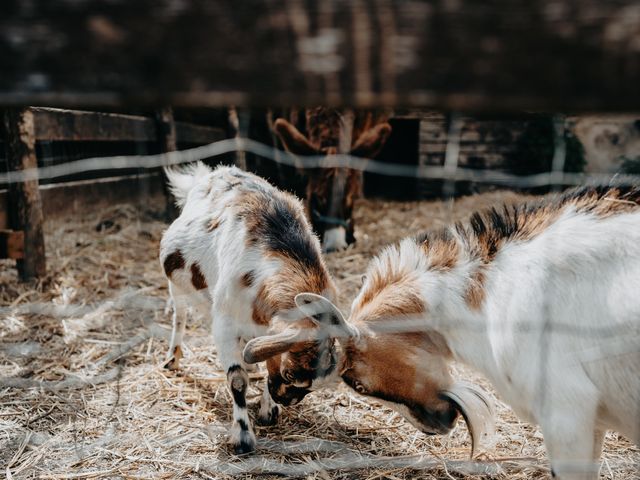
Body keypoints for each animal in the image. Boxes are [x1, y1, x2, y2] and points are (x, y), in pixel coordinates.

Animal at [160, 162, 340, 454]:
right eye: (290, 372)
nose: (287, 400)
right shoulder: (225, 324)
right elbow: (237, 380)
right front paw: (243, 436)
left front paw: (269, 410)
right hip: (176, 283)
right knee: (180, 315)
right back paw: (172, 358)